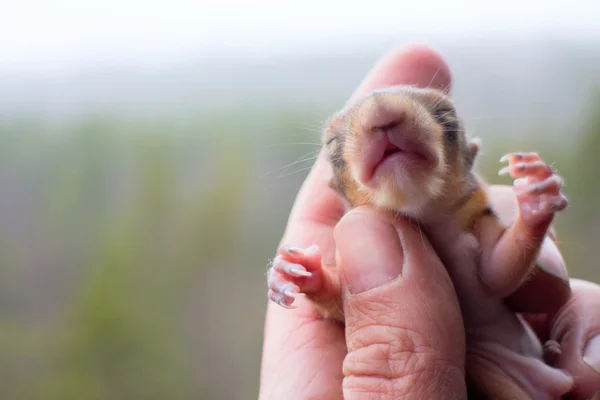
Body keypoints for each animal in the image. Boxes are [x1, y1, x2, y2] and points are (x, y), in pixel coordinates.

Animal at [268, 83, 572, 396]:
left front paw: (536, 199)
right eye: (331, 143)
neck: (423, 215)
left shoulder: (475, 224)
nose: (382, 110)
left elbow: (499, 271)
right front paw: (297, 272)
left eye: (447, 115)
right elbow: (338, 301)